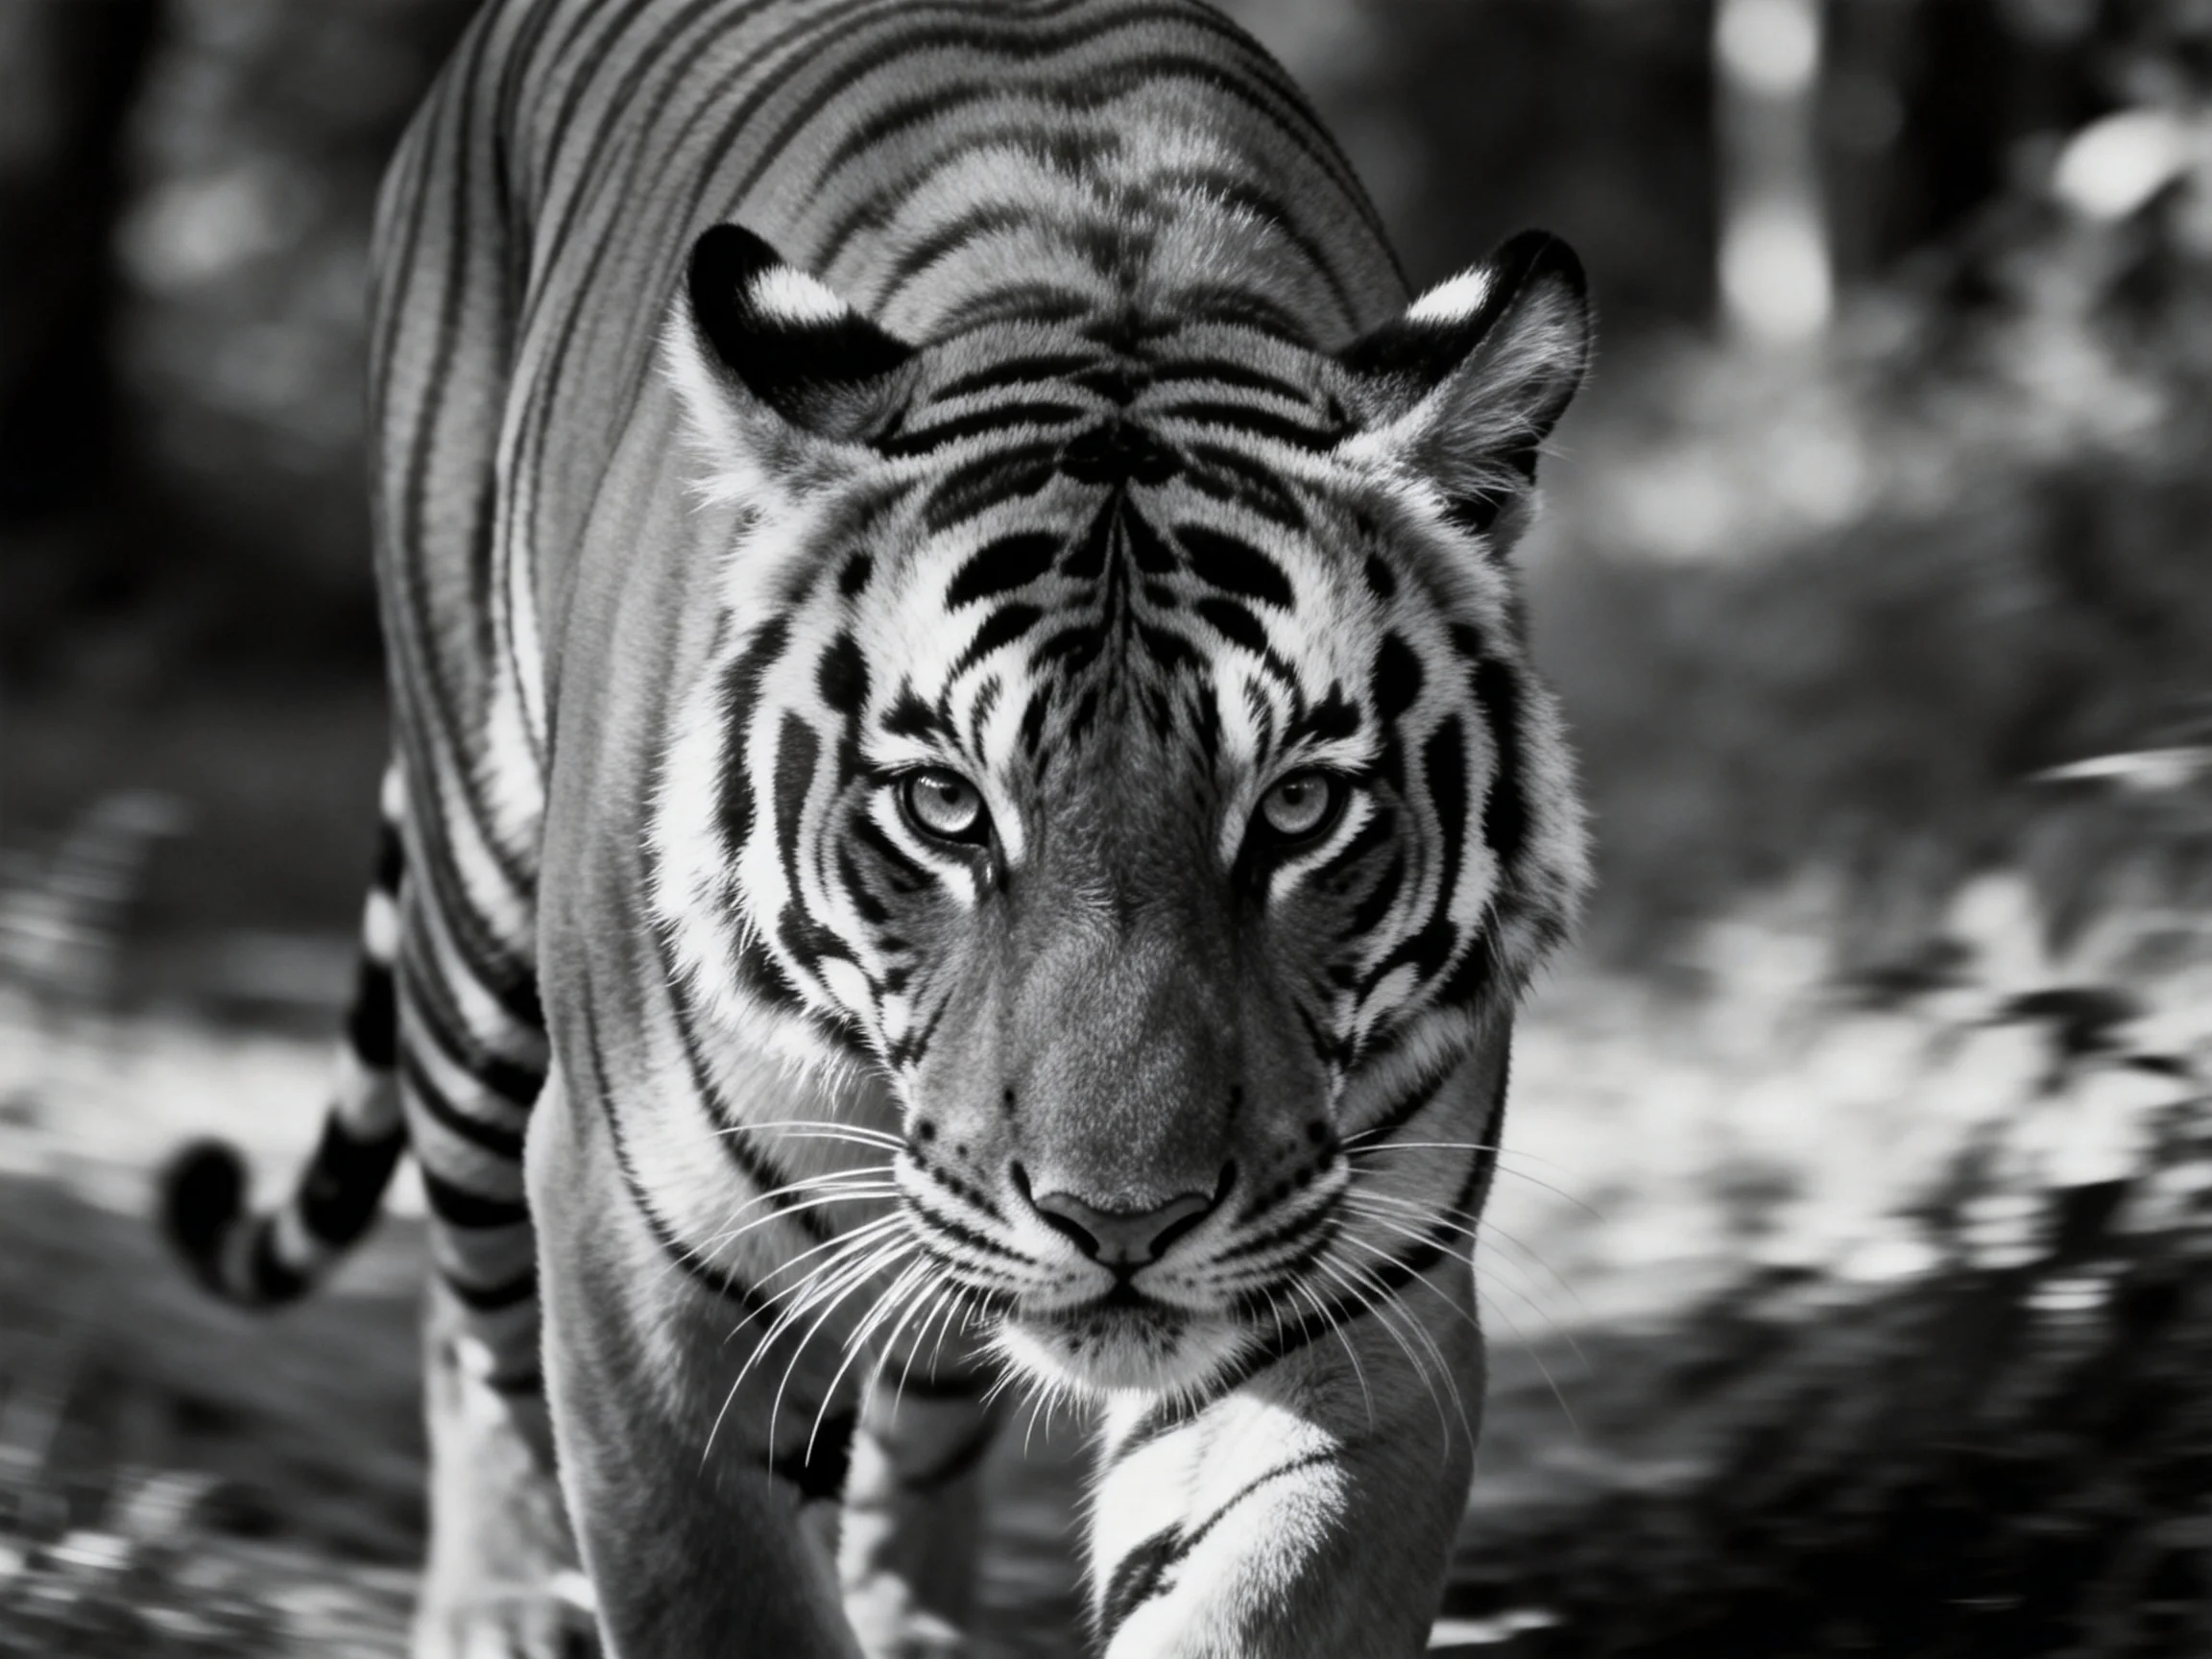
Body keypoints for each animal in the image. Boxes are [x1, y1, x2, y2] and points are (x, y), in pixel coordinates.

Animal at [160, 1, 1593, 1654]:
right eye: (942, 804)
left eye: (1296, 802)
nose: (1125, 1223)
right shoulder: (640, 1252)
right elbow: (715, 1589)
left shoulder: (1367, 1300)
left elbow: (1256, 1597)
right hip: (471, 964)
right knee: (470, 1337)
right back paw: (493, 1609)